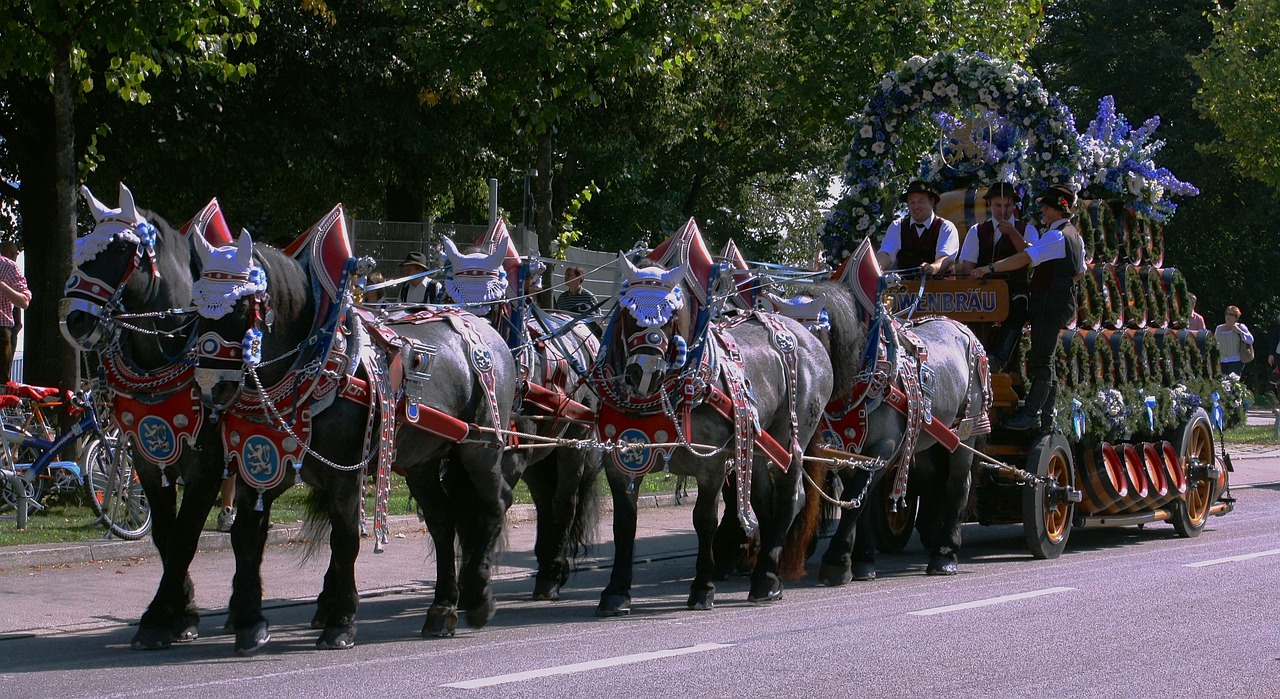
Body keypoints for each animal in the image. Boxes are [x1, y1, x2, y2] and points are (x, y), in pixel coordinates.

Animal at [60, 180, 232, 647]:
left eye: (121, 248)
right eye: (80, 247)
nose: (74, 321)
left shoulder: (206, 466)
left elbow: (186, 535)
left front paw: (167, 615)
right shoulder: (147, 458)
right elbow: (164, 536)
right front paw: (178, 609)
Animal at [185, 221, 514, 647]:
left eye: (242, 307)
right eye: (195, 307)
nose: (211, 387)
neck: (313, 366)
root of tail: (487, 330)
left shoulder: (345, 474)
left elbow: (344, 541)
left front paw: (340, 620)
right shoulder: (259, 464)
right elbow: (246, 537)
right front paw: (249, 621)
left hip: (480, 447)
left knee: (495, 504)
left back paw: (477, 595)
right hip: (422, 463)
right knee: (444, 521)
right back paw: (442, 609)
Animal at [437, 222, 601, 599]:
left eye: (494, 302)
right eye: (449, 298)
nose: (472, 353)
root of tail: (584, 330)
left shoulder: (509, 455)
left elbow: (487, 506)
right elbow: (460, 513)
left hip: (574, 441)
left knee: (563, 502)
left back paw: (552, 574)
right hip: (540, 454)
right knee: (544, 501)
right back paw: (545, 566)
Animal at [586, 220, 829, 611]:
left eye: (672, 314)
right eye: (626, 312)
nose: (645, 373)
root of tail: (809, 337)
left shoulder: (712, 463)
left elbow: (704, 520)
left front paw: (703, 587)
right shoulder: (620, 458)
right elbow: (624, 524)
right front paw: (616, 591)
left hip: (792, 436)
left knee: (790, 497)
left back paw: (768, 578)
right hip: (755, 444)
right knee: (762, 500)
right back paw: (761, 572)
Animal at [768, 241, 988, 578]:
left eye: (813, 331)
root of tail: (963, 329)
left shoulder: (884, 446)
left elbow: (856, 499)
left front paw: (837, 561)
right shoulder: (846, 446)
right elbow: (863, 500)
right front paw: (862, 558)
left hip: (966, 432)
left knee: (958, 484)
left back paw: (945, 554)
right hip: (930, 439)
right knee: (934, 478)